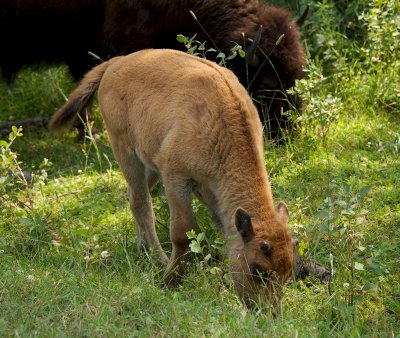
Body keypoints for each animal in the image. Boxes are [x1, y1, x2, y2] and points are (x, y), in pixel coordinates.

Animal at [49, 49, 294, 306]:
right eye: (258, 269)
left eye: (288, 272)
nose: (265, 309)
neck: (223, 129)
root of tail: (116, 62)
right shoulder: (176, 178)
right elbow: (182, 232)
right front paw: (171, 280)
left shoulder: (211, 191)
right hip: (126, 152)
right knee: (142, 204)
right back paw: (159, 260)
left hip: (150, 164)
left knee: (133, 197)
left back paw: (143, 249)